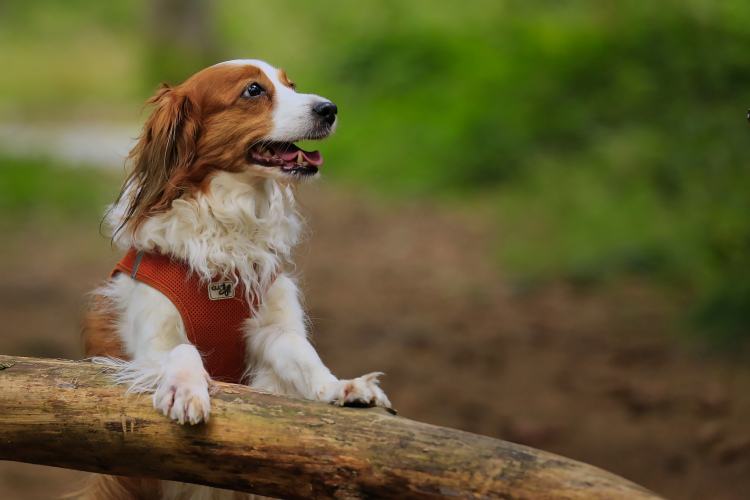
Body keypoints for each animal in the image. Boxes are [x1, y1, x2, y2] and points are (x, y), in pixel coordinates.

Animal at [79, 59, 390, 500]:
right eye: (253, 91)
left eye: (291, 85)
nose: (329, 109)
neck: (226, 233)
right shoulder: (149, 346)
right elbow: (182, 350)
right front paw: (186, 389)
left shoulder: (272, 329)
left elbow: (303, 355)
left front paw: (340, 387)